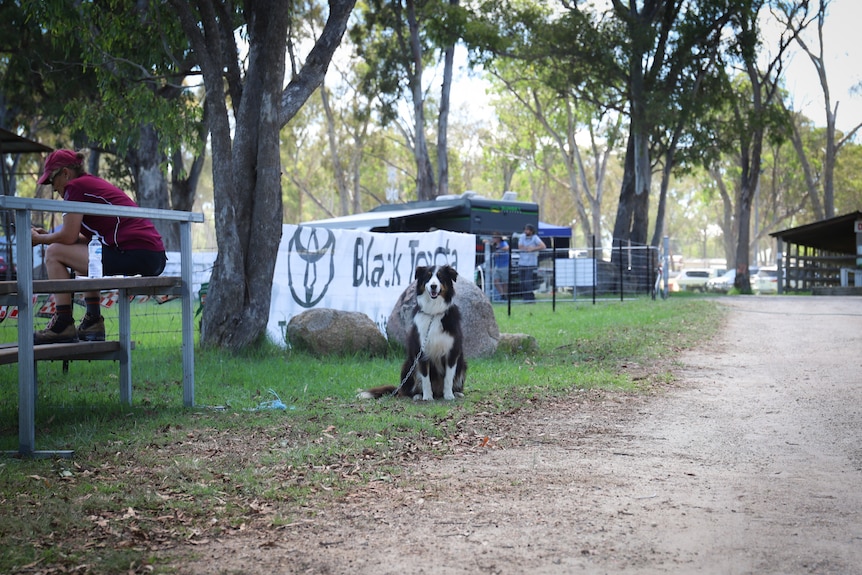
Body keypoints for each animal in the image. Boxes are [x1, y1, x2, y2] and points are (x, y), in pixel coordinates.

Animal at [356, 266, 466, 400]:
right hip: (408, 365)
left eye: (440, 277)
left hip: (463, 364)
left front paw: (449, 395)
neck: (434, 312)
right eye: (428, 276)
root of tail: (437, 392)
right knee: (406, 391)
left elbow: (449, 377)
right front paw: (427, 397)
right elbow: (425, 378)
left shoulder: (452, 351)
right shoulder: (421, 351)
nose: (433, 286)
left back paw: (457, 392)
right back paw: (418, 395)